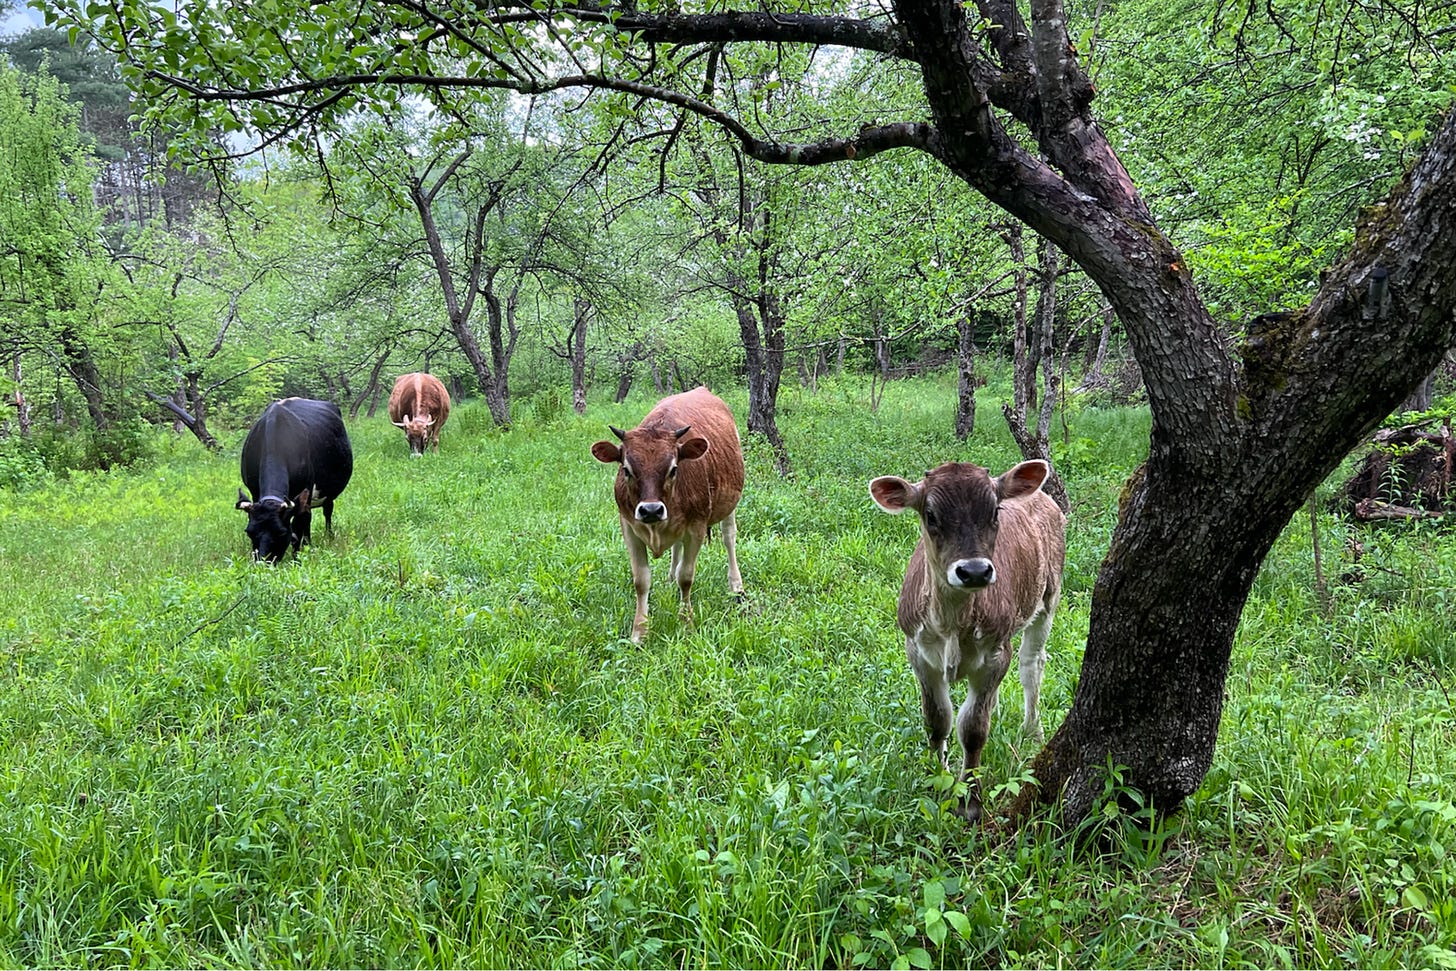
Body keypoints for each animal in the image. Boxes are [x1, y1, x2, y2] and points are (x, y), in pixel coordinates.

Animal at [238, 395, 355, 561]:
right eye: (249, 532)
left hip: (327, 493)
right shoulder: (254, 492)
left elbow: (298, 528)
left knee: (326, 511)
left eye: (281, 532)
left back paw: (326, 537)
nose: (264, 562)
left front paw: (297, 559)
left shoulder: (304, 491)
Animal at [591, 387, 745, 646]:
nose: (651, 510)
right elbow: (641, 580)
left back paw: (736, 585)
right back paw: (670, 579)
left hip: (730, 504)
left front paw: (687, 623)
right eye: (626, 470)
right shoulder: (628, 526)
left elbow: (687, 576)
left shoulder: (697, 527)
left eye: (673, 469)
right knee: (676, 548)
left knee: (728, 537)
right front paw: (639, 633)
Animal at [867, 460, 1065, 826]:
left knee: (1032, 665)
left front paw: (970, 803)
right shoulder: (917, 652)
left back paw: (1032, 732)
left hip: (1049, 596)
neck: (952, 624)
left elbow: (973, 728)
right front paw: (938, 781)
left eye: (994, 510)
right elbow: (937, 720)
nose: (974, 571)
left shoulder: (997, 653)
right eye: (930, 515)